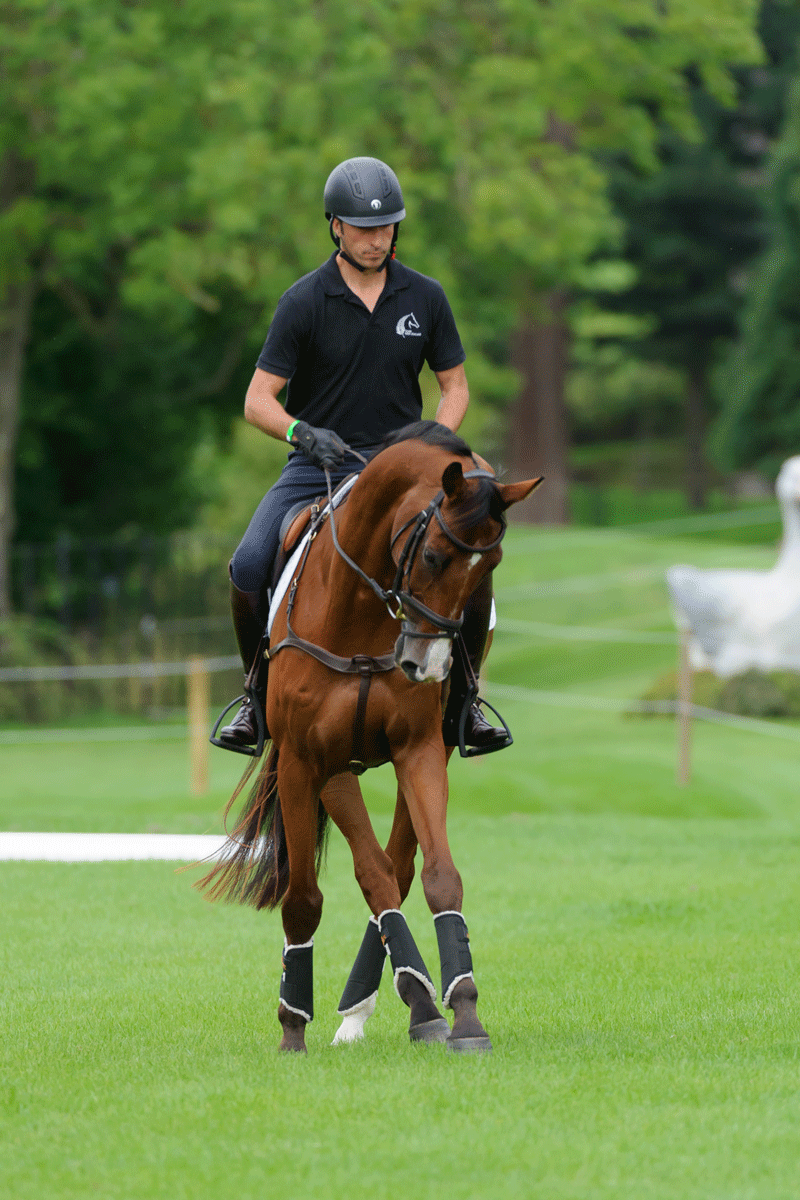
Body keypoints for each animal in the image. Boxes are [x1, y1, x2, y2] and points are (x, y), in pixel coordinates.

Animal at [196, 422, 542, 1051]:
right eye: (431, 554)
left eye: (490, 568)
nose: (428, 666)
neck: (359, 611)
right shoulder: (311, 761)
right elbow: (316, 895)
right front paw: (293, 1024)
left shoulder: (420, 751)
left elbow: (436, 878)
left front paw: (460, 1009)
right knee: (374, 873)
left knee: (398, 869)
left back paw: (397, 1000)